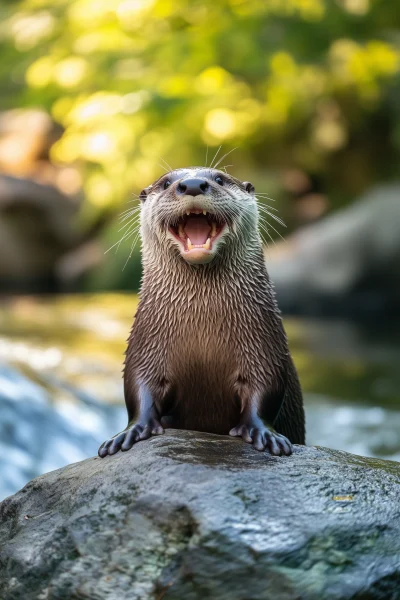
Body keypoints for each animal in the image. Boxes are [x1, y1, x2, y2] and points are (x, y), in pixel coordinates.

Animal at [98, 166, 304, 458]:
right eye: (166, 183)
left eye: (219, 179)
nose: (193, 184)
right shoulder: (144, 342)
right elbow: (139, 386)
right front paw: (131, 431)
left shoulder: (265, 342)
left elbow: (266, 387)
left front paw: (264, 432)